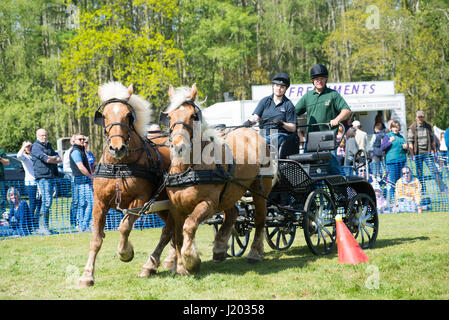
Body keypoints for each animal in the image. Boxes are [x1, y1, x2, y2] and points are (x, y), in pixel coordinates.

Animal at [78, 82, 172, 288]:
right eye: (104, 116)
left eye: (128, 116)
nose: (117, 148)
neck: (119, 166)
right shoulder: (99, 203)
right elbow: (96, 239)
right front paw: (87, 275)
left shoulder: (139, 201)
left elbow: (124, 227)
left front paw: (126, 252)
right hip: (164, 206)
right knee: (170, 230)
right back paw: (163, 262)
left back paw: (154, 264)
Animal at [161, 83, 272, 276]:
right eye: (170, 116)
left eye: (193, 115)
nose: (178, 146)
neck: (189, 169)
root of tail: (252, 132)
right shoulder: (176, 207)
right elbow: (178, 235)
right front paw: (181, 266)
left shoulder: (209, 203)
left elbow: (189, 226)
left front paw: (191, 260)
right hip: (230, 192)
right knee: (233, 213)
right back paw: (220, 249)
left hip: (259, 191)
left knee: (260, 219)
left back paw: (254, 253)